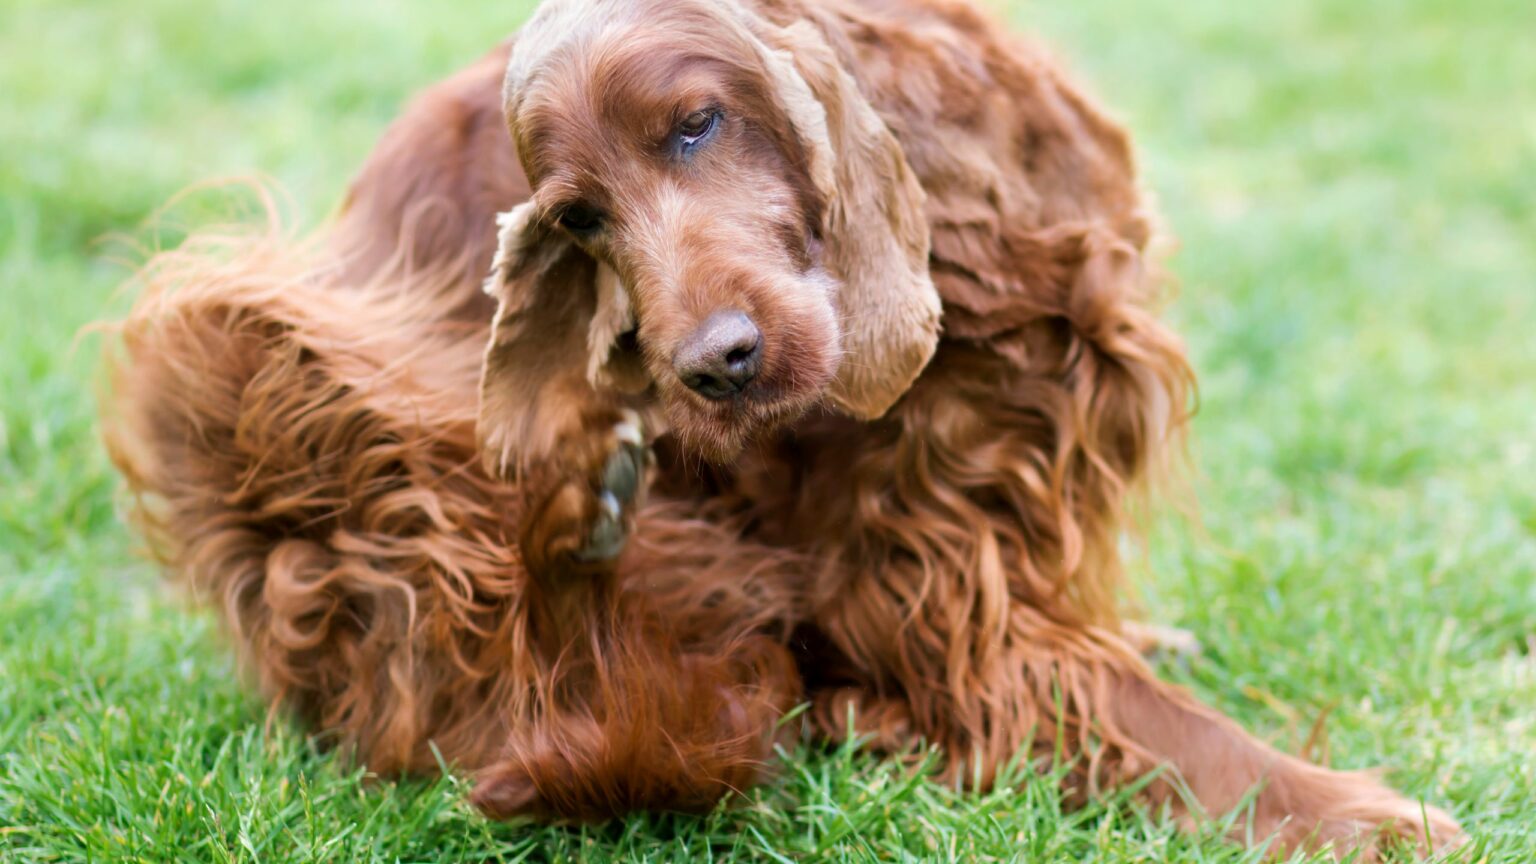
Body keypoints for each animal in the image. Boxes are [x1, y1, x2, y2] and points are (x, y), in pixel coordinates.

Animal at [102, 0, 1456, 848]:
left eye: (697, 124)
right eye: (581, 218)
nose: (714, 369)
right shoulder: (907, 585)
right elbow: (1134, 719)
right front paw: (1353, 813)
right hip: (266, 359)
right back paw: (597, 529)